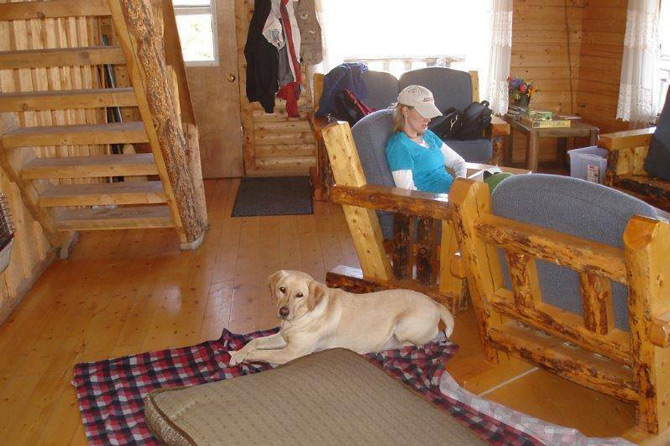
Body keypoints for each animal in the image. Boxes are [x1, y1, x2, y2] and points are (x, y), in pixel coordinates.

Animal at [228, 270, 454, 364]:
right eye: (282, 289)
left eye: (300, 295)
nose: (283, 312)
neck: (304, 315)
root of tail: (436, 303)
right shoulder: (283, 338)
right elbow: (255, 341)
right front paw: (239, 353)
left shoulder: (291, 352)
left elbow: (262, 353)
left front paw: (243, 356)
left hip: (404, 325)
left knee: (430, 340)